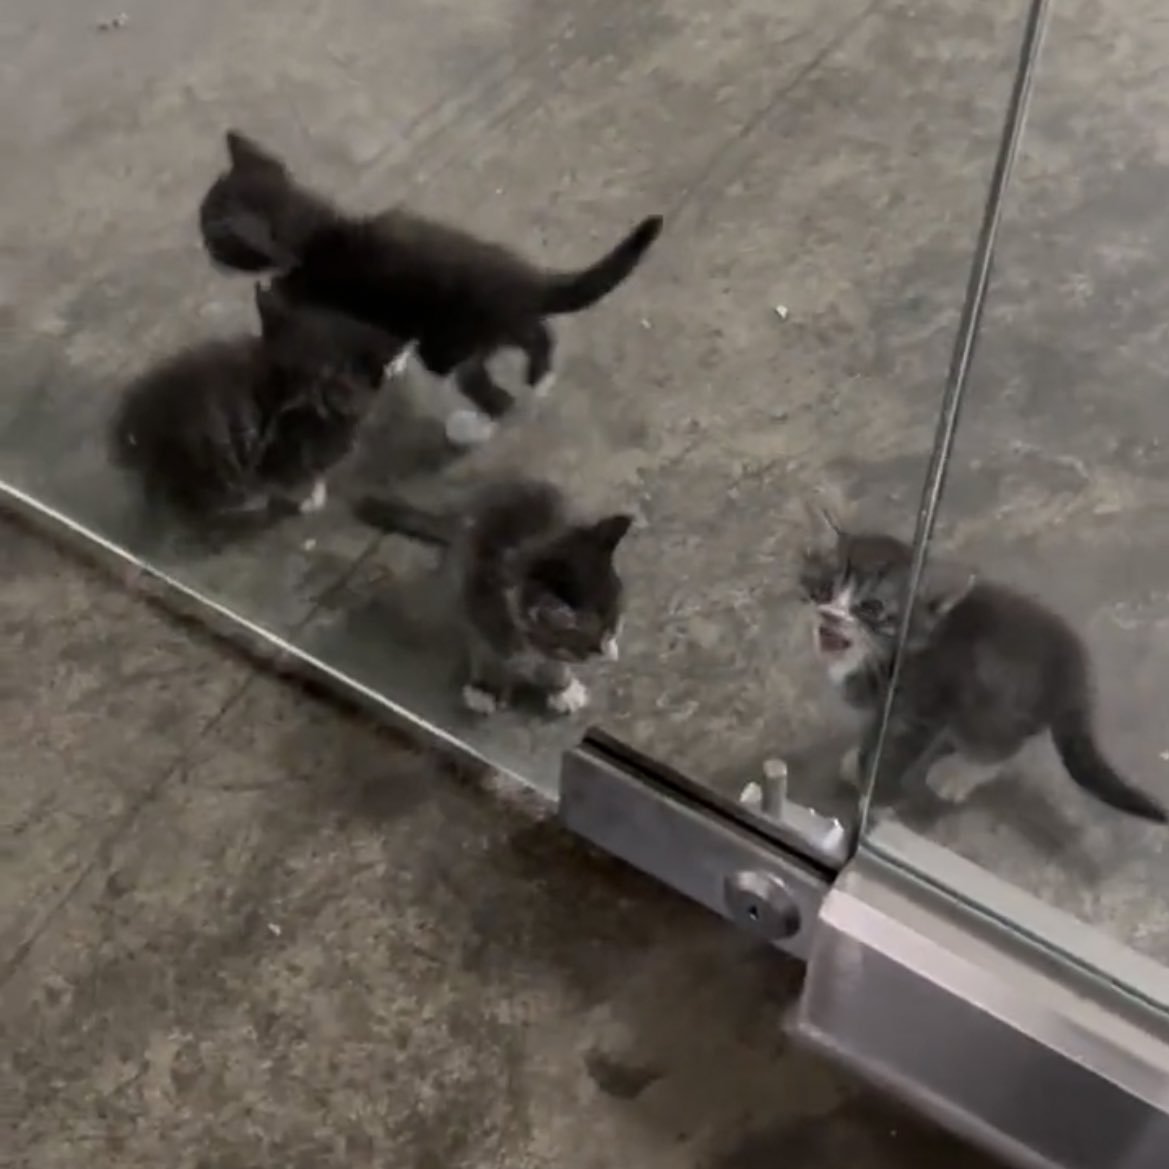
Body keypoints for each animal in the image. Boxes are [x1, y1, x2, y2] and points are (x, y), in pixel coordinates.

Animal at [198, 130, 664, 447]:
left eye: (213, 234)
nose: (204, 248)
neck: (316, 234)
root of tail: (521, 278)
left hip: (449, 341)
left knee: (490, 390)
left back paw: (477, 424)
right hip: (489, 325)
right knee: (536, 333)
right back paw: (541, 376)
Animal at [352, 478, 633, 716]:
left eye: (616, 620)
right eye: (592, 643)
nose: (610, 644)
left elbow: (552, 661)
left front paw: (562, 687)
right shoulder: (476, 606)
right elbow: (488, 653)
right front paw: (487, 689)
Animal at [797, 512, 1168, 823]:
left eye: (871, 608)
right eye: (825, 589)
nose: (830, 615)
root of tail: (1075, 670)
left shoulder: (924, 710)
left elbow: (895, 751)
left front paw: (873, 791)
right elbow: (875, 732)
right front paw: (860, 761)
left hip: (989, 710)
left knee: (999, 747)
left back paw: (957, 774)